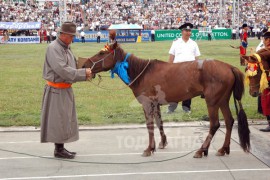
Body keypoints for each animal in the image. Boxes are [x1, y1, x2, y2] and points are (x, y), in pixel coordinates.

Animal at [83, 41, 251, 158]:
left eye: (101, 53)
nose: (85, 64)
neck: (142, 72)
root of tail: (229, 67)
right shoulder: (155, 104)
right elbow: (159, 123)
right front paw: (162, 143)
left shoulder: (147, 104)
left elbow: (150, 125)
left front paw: (149, 148)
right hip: (222, 100)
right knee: (229, 121)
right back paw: (223, 149)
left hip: (212, 101)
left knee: (215, 124)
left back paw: (201, 150)